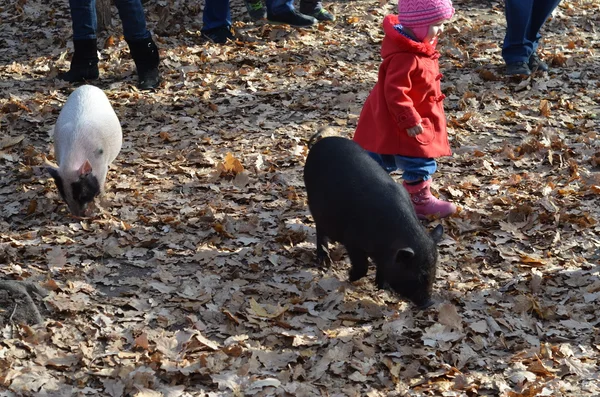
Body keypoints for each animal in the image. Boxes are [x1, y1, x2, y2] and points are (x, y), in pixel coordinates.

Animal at [302, 135, 442, 306]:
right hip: (315, 204)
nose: (429, 303)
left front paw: (382, 288)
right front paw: (350, 277)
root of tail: (319, 143)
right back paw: (323, 260)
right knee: (320, 229)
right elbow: (363, 267)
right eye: (419, 275)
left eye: (434, 271)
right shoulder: (352, 240)